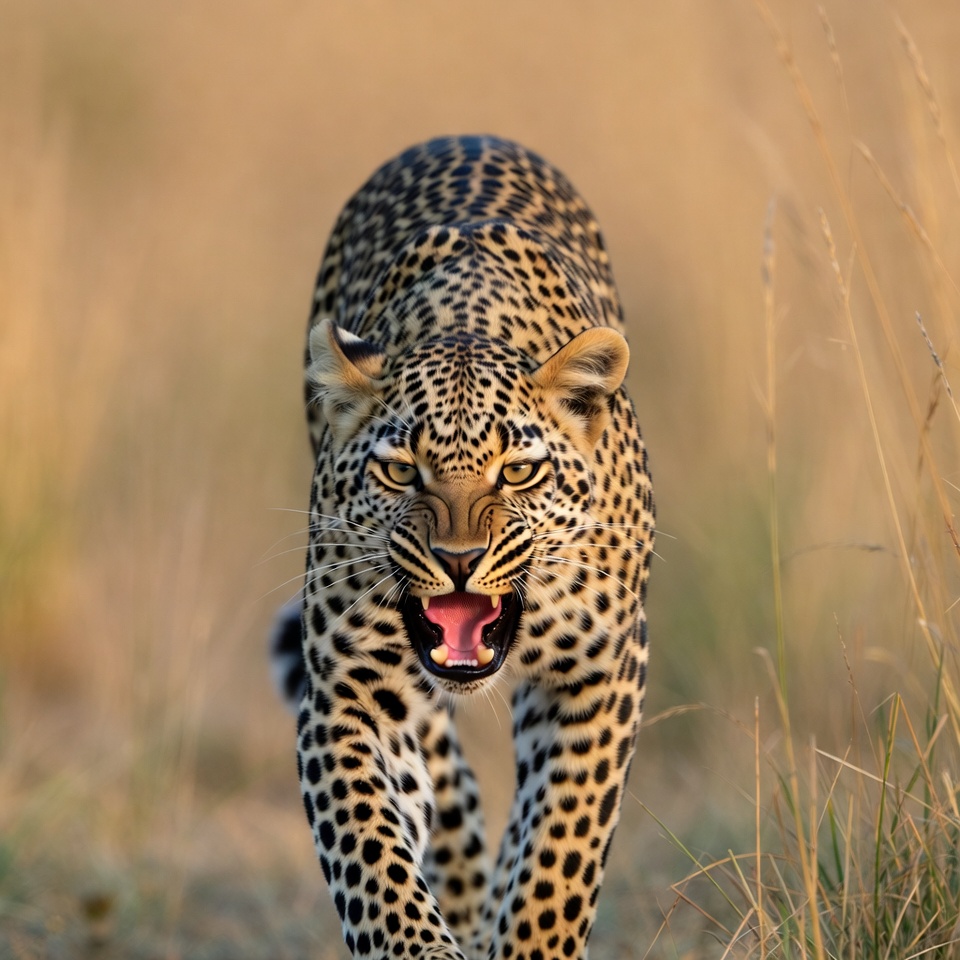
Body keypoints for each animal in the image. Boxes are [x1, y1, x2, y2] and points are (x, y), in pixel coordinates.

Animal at [271, 135, 655, 960]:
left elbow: (558, 855)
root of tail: (462, 137)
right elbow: (374, 863)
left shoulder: (603, 674)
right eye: (400, 470)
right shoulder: (346, 695)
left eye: (517, 471)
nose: (456, 561)